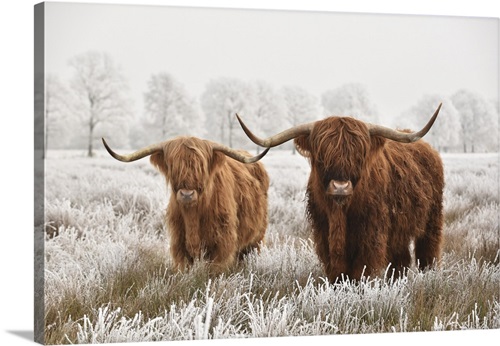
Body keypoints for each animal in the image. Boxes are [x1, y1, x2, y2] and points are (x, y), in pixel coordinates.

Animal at [102, 136, 272, 274]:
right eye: (173, 166)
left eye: (201, 167)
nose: (187, 194)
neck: (193, 216)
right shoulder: (179, 244)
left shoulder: (222, 245)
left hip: (256, 239)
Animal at [238, 104, 446, 282]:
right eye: (321, 155)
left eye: (359, 155)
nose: (340, 187)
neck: (340, 213)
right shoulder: (324, 233)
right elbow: (337, 271)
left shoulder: (371, 236)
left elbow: (360, 271)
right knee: (400, 259)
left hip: (432, 220)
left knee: (428, 251)